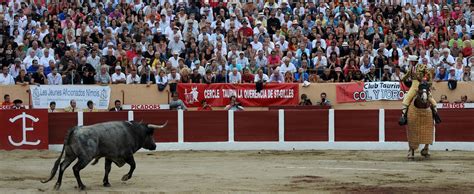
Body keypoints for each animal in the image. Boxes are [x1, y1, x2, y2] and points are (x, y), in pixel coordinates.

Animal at [40, 120, 168, 190]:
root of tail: (75, 130)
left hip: (70, 155)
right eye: (150, 134)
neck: (133, 131)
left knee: (62, 166)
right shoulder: (127, 154)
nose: (155, 146)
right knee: (75, 168)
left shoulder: (109, 156)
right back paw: (82, 186)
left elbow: (107, 169)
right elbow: (133, 165)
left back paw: (57, 185)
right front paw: (125, 177)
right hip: (85, 158)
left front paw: (106, 183)